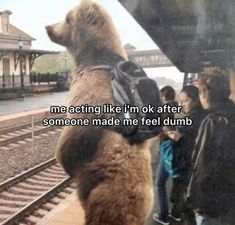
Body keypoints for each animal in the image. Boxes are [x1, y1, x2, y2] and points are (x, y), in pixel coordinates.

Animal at [46, 0, 160, 224]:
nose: (47, 27)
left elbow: (71, 139)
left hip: (105, 195)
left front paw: (64, 160)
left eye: (66, 17)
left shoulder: (88, 99)